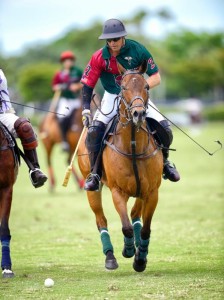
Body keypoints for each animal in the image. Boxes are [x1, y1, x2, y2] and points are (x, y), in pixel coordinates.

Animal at [78, 62, 163, 274]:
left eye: (146, 86)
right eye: (123, 88)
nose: (138, 114)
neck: (133, 146)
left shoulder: (152, 192)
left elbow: (145, 228)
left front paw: (140, 258)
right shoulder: (118, 191)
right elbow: (125, 226)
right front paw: (128, 249)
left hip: (141, 192)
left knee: (135, 215)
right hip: (92, 188)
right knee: (101, 220)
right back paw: (110, 257)